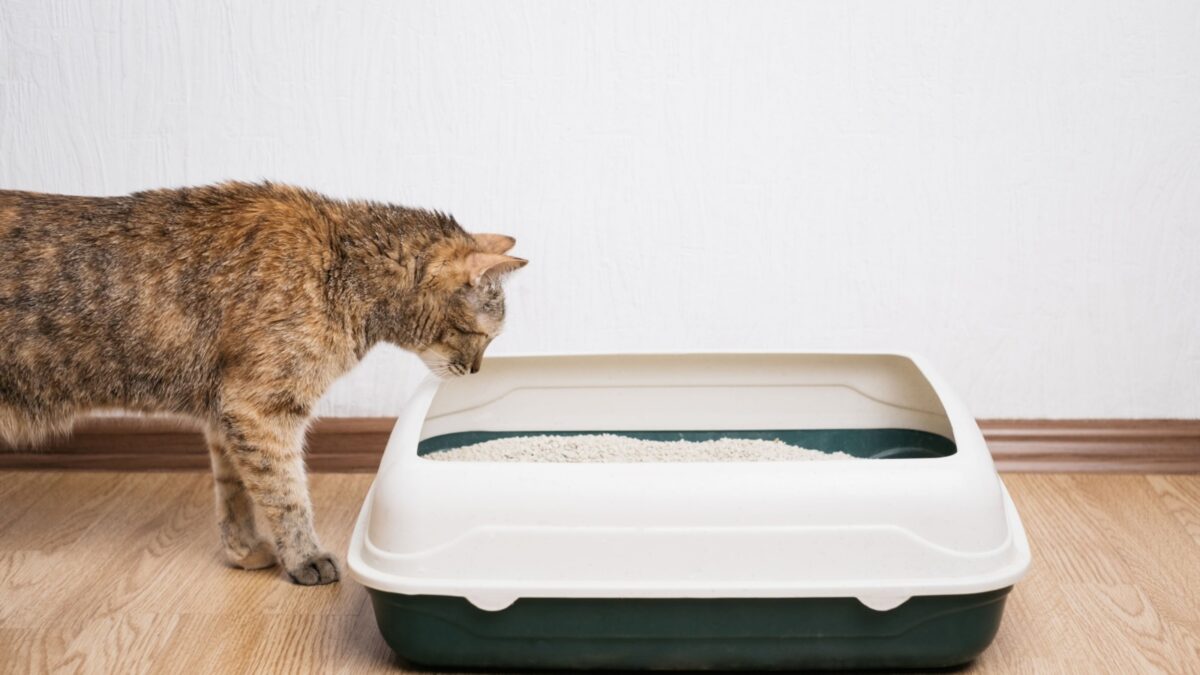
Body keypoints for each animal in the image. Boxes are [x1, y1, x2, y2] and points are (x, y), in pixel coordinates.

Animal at [0, 182, 525, 583]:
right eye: (481, 336)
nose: (476, 371)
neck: (341, 266)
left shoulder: (225, 413)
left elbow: (236, 492)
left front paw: (245, 550)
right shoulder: (260, 408)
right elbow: (286, 492)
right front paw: (305, 557)